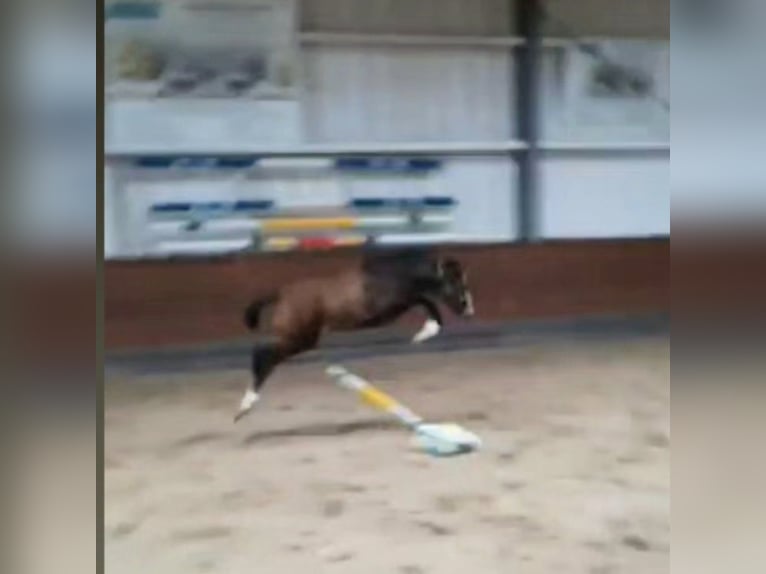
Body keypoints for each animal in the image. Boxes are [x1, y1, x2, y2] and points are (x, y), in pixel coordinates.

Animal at [234, 249, 474, 424]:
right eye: (454, 282)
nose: (469, 311)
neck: (392, 276)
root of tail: (282, 294)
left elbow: (423, 300)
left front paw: (425, 333)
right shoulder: (389, 308)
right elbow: (423, 300)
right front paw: (425, 333)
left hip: (300, 338)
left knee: (265, 354)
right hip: (299, 338)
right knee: (263, 354)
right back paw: (246, 405)